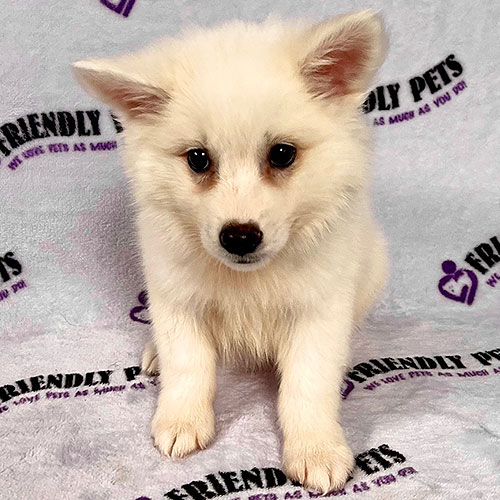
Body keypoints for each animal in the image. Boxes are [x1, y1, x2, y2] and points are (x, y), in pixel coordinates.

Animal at [72, 9, 388, 494]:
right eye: (198, 159)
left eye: (282, 154)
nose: (239, 237)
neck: (248, 278)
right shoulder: (175, 297)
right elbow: (189, 366)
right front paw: (182, 422)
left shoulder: (320, 309)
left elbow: (308, 385)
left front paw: (317, 450)